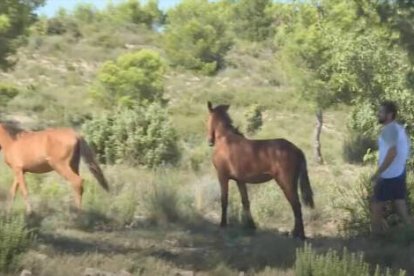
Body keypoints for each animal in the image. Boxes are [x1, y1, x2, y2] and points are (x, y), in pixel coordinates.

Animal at [207, 102, 314, 239]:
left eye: (208, 119)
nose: (210, 141)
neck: (225, 139)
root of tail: (297, 149)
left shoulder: (222, 176)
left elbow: (224, 200)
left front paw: (223, 224)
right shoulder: (240, 180)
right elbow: (245, 201)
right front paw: (250, 225)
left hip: (286, 183)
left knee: (296, 205)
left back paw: (298, 235)